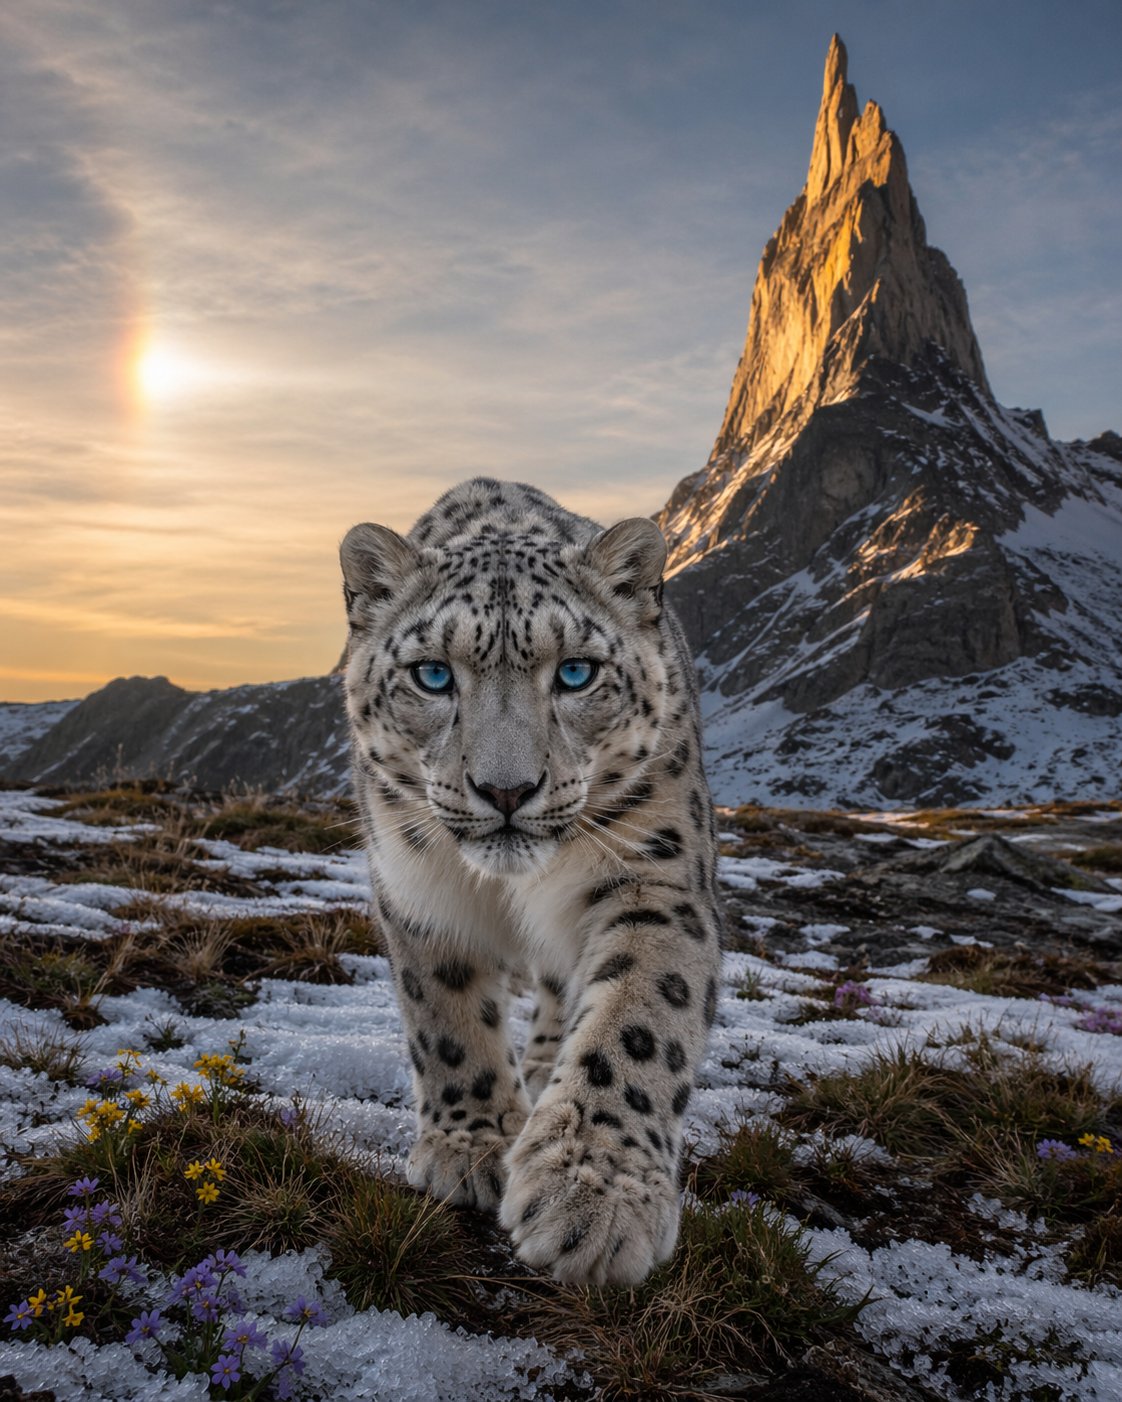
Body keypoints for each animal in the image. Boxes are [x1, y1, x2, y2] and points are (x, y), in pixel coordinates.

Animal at [339, 477, 721, 1286]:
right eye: (433, 674)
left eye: (576, 671)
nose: (506, 789)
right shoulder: (417, 886)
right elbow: (444, 1015)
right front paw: (473, 1145)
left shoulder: (657, 879)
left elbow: (639, 1020)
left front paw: (594, 1198)